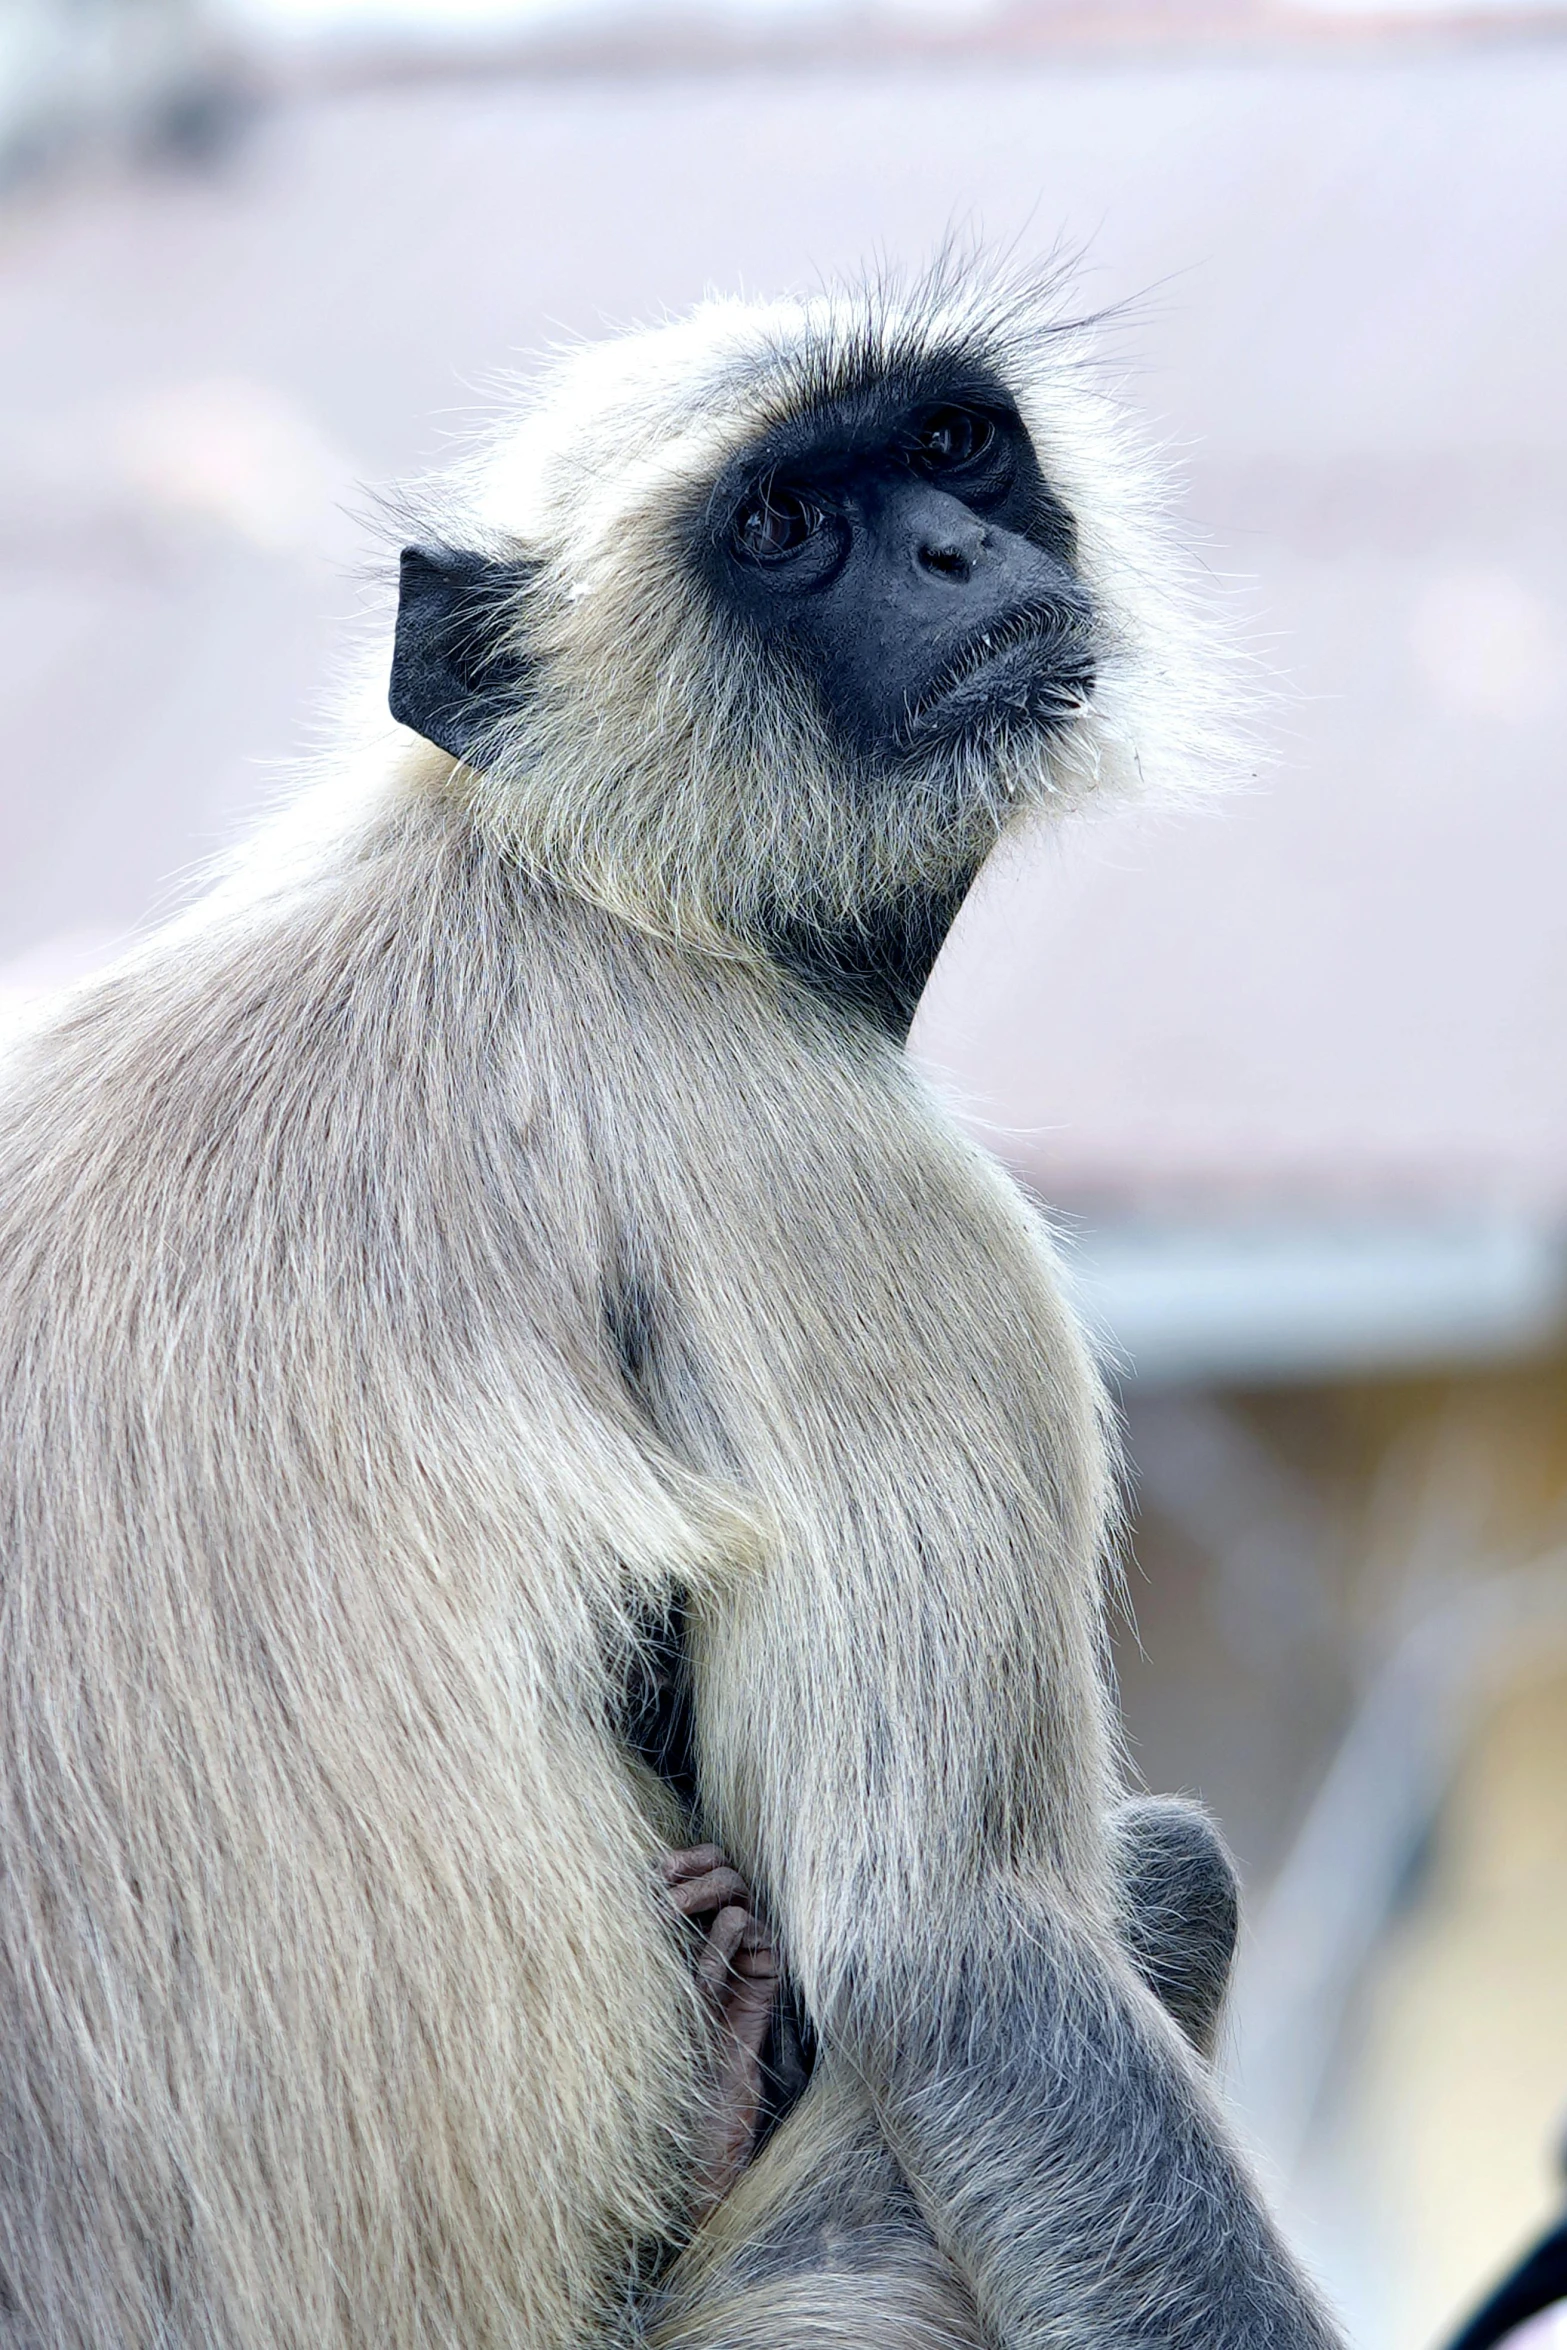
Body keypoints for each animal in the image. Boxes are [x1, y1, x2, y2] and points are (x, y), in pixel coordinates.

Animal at [0, 266, 1334, 2350]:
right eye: (780, 527)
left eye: (950, 447)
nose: (959, 554)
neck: (570, 876)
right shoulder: (822, 1170)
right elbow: (962, 1969)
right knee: (1159, 1881)